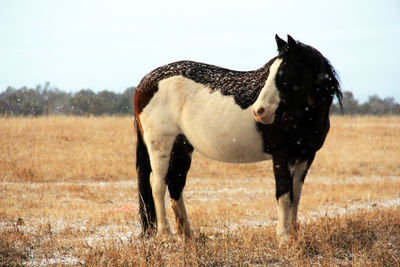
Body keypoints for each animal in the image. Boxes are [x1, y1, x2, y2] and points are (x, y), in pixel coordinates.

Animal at [133, 34, 342, 245]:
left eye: (286, 73)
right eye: (271, 72)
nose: (259, 111)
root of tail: (145, 81)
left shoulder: (305, 156)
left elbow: (296, 195)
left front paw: (294, 235)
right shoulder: (282, 155)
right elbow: (284, 195)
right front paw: (283, 237)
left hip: (182, 146)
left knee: (175, 184)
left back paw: (188, 235)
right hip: (160, 146)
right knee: (158, 185)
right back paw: (165, 234)